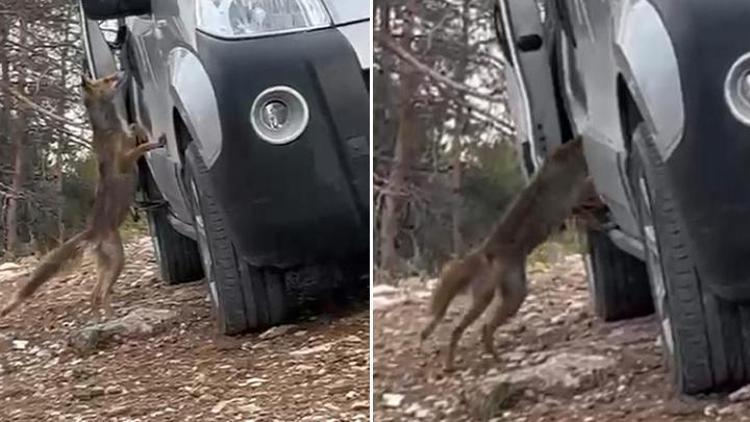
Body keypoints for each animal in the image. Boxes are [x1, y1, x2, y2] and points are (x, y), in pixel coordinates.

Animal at [0, 71, 164, 318]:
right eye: (106, 80)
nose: (122, 72)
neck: (111, 128)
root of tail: (92, 233)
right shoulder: (123, 161)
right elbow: (139, 149)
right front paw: (156, 142)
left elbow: (135, 127)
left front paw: (140, 130)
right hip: (117, 258)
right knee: (100, 293)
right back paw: (109, 316)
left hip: (106, 263)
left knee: (94, 295)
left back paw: (100, 318)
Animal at [420, 138, 596, 370]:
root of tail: (484, 251)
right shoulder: (578, 195)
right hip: (488, 297)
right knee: (461, 329)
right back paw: (456, 363)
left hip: (512, 294)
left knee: (480, 328)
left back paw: (492, 357)